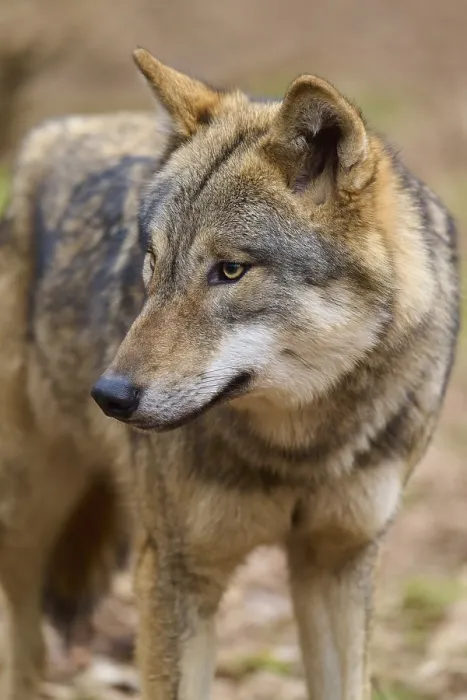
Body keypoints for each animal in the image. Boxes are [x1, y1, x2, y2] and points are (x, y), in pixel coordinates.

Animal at [0, 47, 459, 700]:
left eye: (231, 270)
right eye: (152, 261)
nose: (108, 396)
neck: (301, 450)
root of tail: (60, 128)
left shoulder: (336, 561)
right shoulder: (176, 574)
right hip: (27, 513)